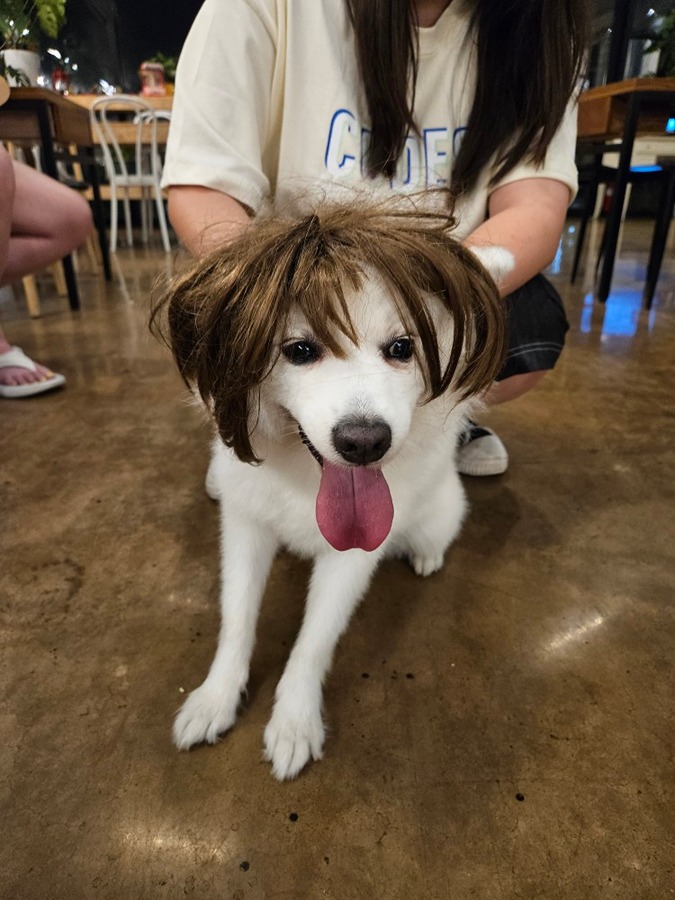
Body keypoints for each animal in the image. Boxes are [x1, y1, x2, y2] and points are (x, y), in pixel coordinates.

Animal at [158, 200, 512, 776]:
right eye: (300, 350)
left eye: (402, 347)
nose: (364, 442)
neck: (309, 479)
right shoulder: (245, 526)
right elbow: (237, 618)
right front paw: (215, 698)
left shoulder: (352, 556)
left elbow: (313, 641)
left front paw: (294, 722)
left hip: (439, 512)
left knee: (434, 534)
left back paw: (426, 556)